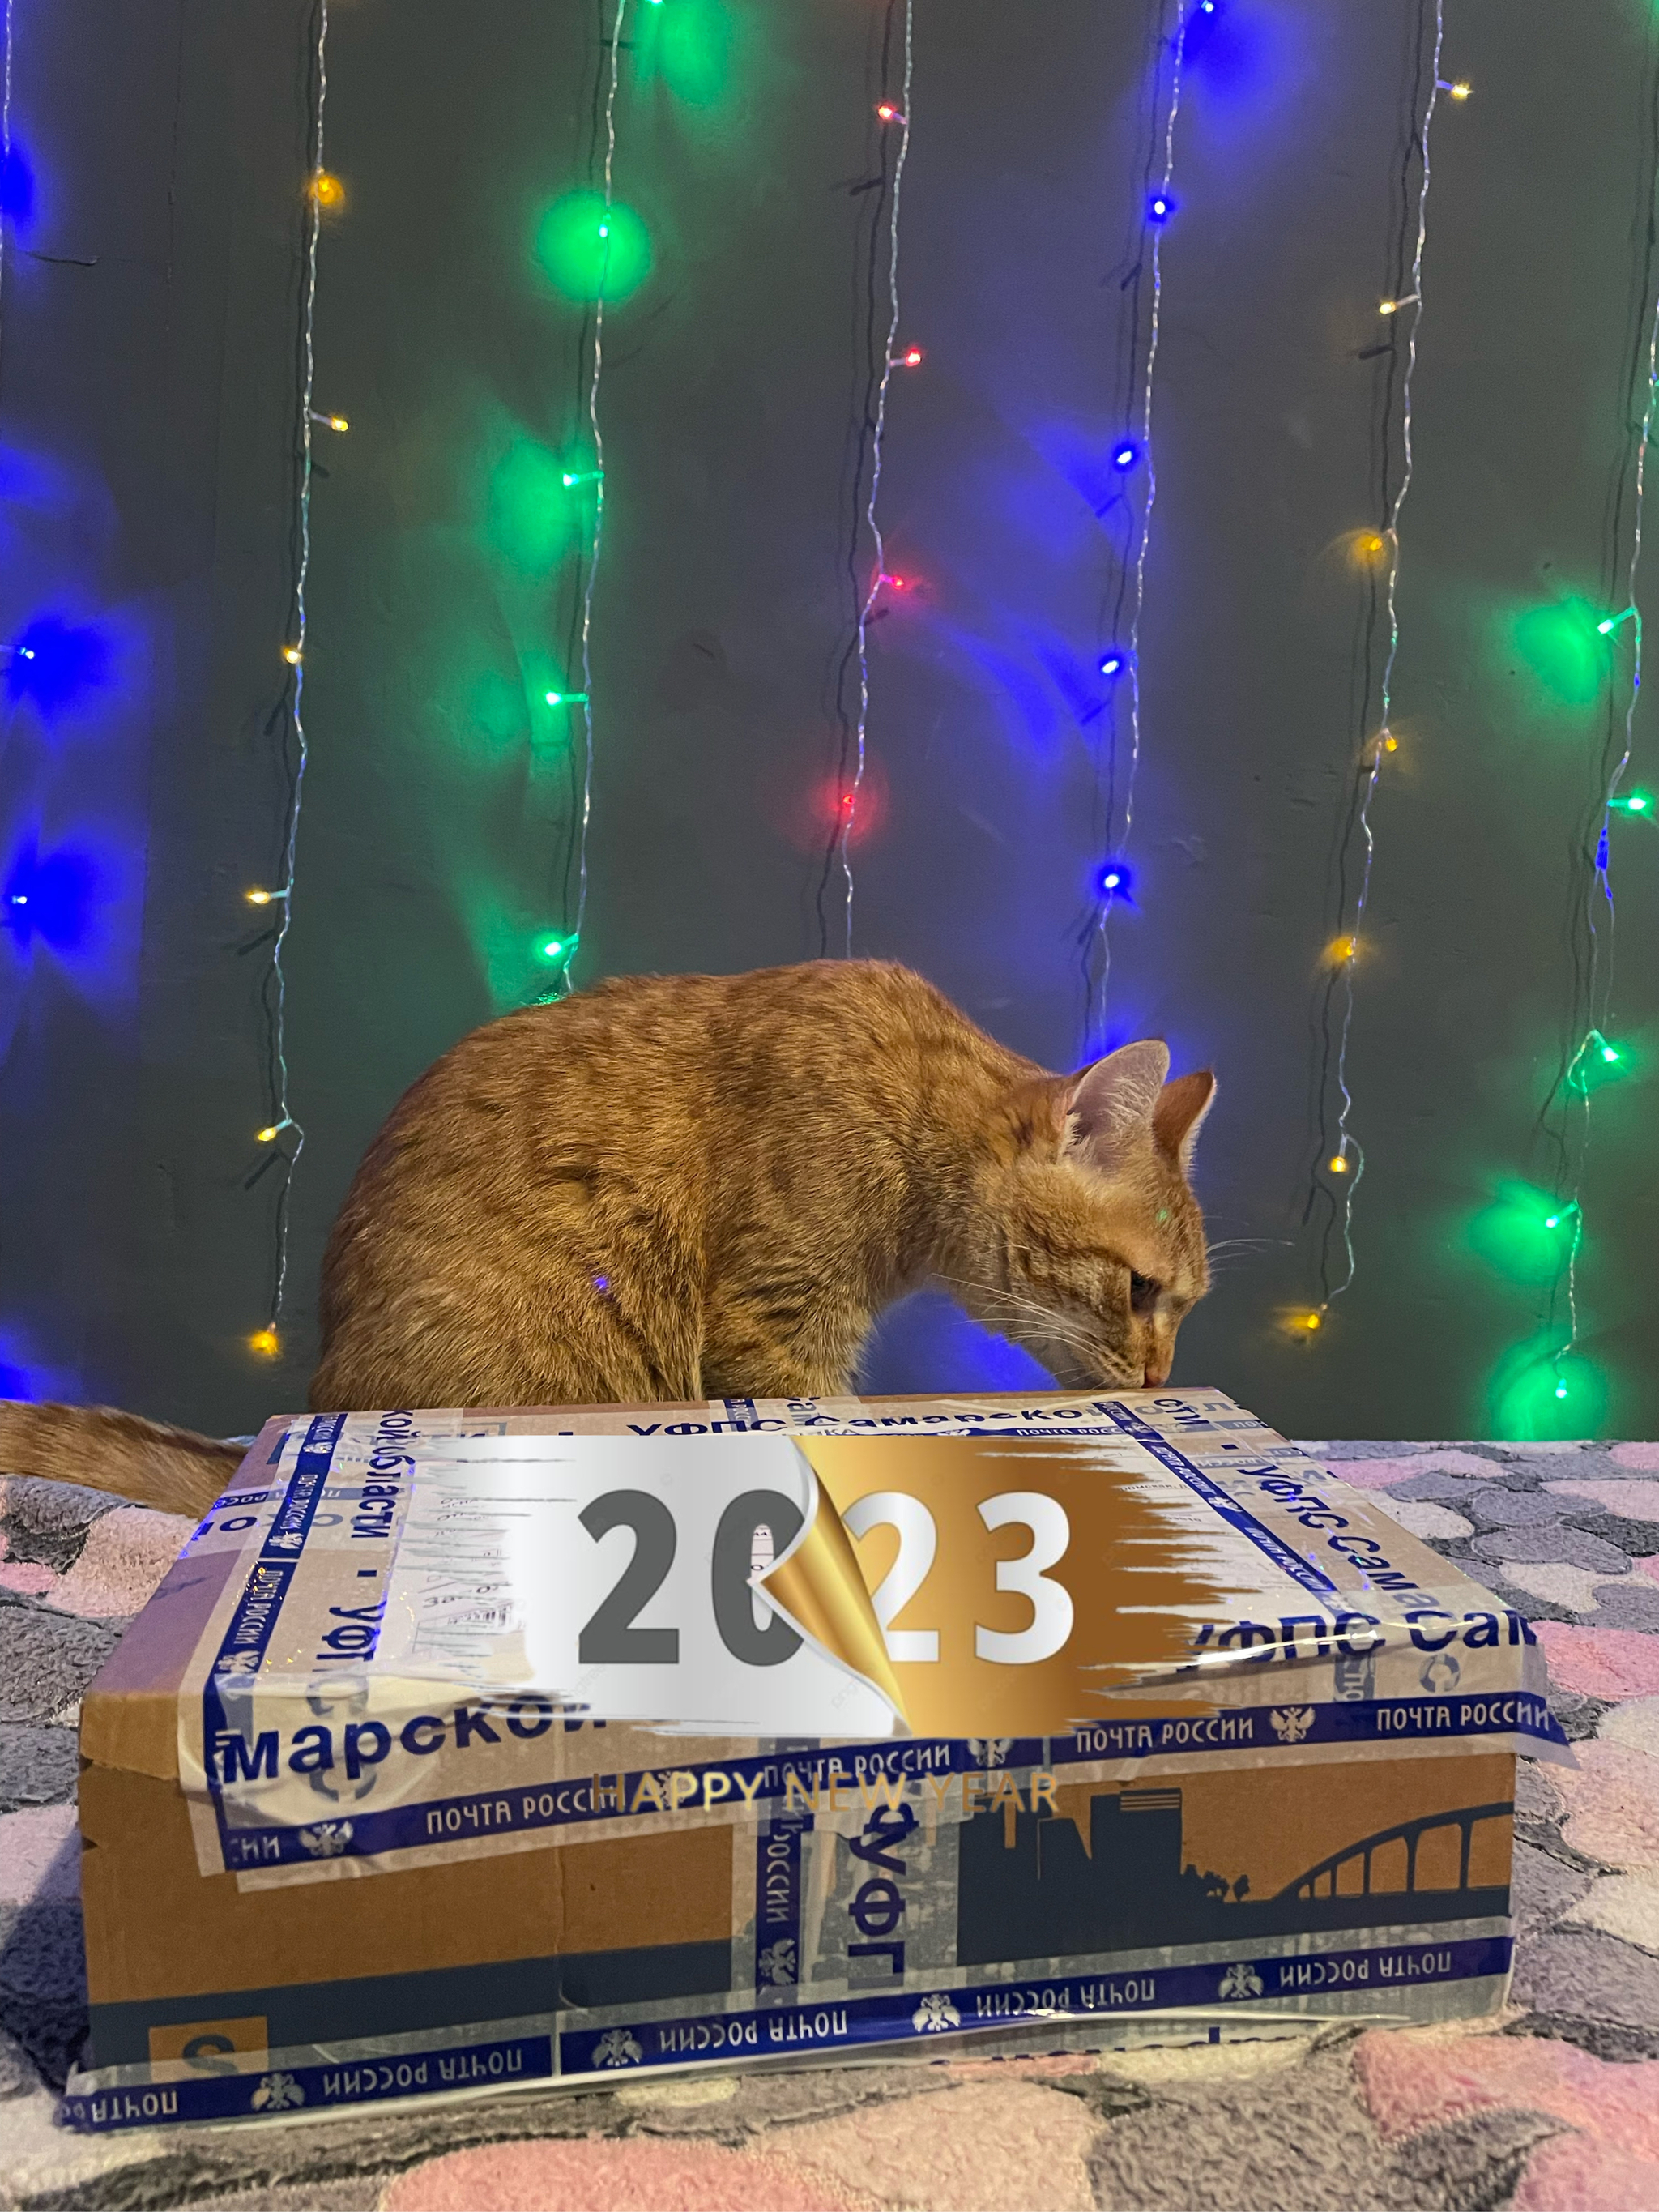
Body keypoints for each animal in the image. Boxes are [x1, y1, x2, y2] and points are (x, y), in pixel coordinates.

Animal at [0, 960, 1215, 1517]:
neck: (915, 1104)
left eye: (1186, 1306)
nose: (1160, 1380)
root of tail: (318, 1397)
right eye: (1141, 1291)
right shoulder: (779, 1334)